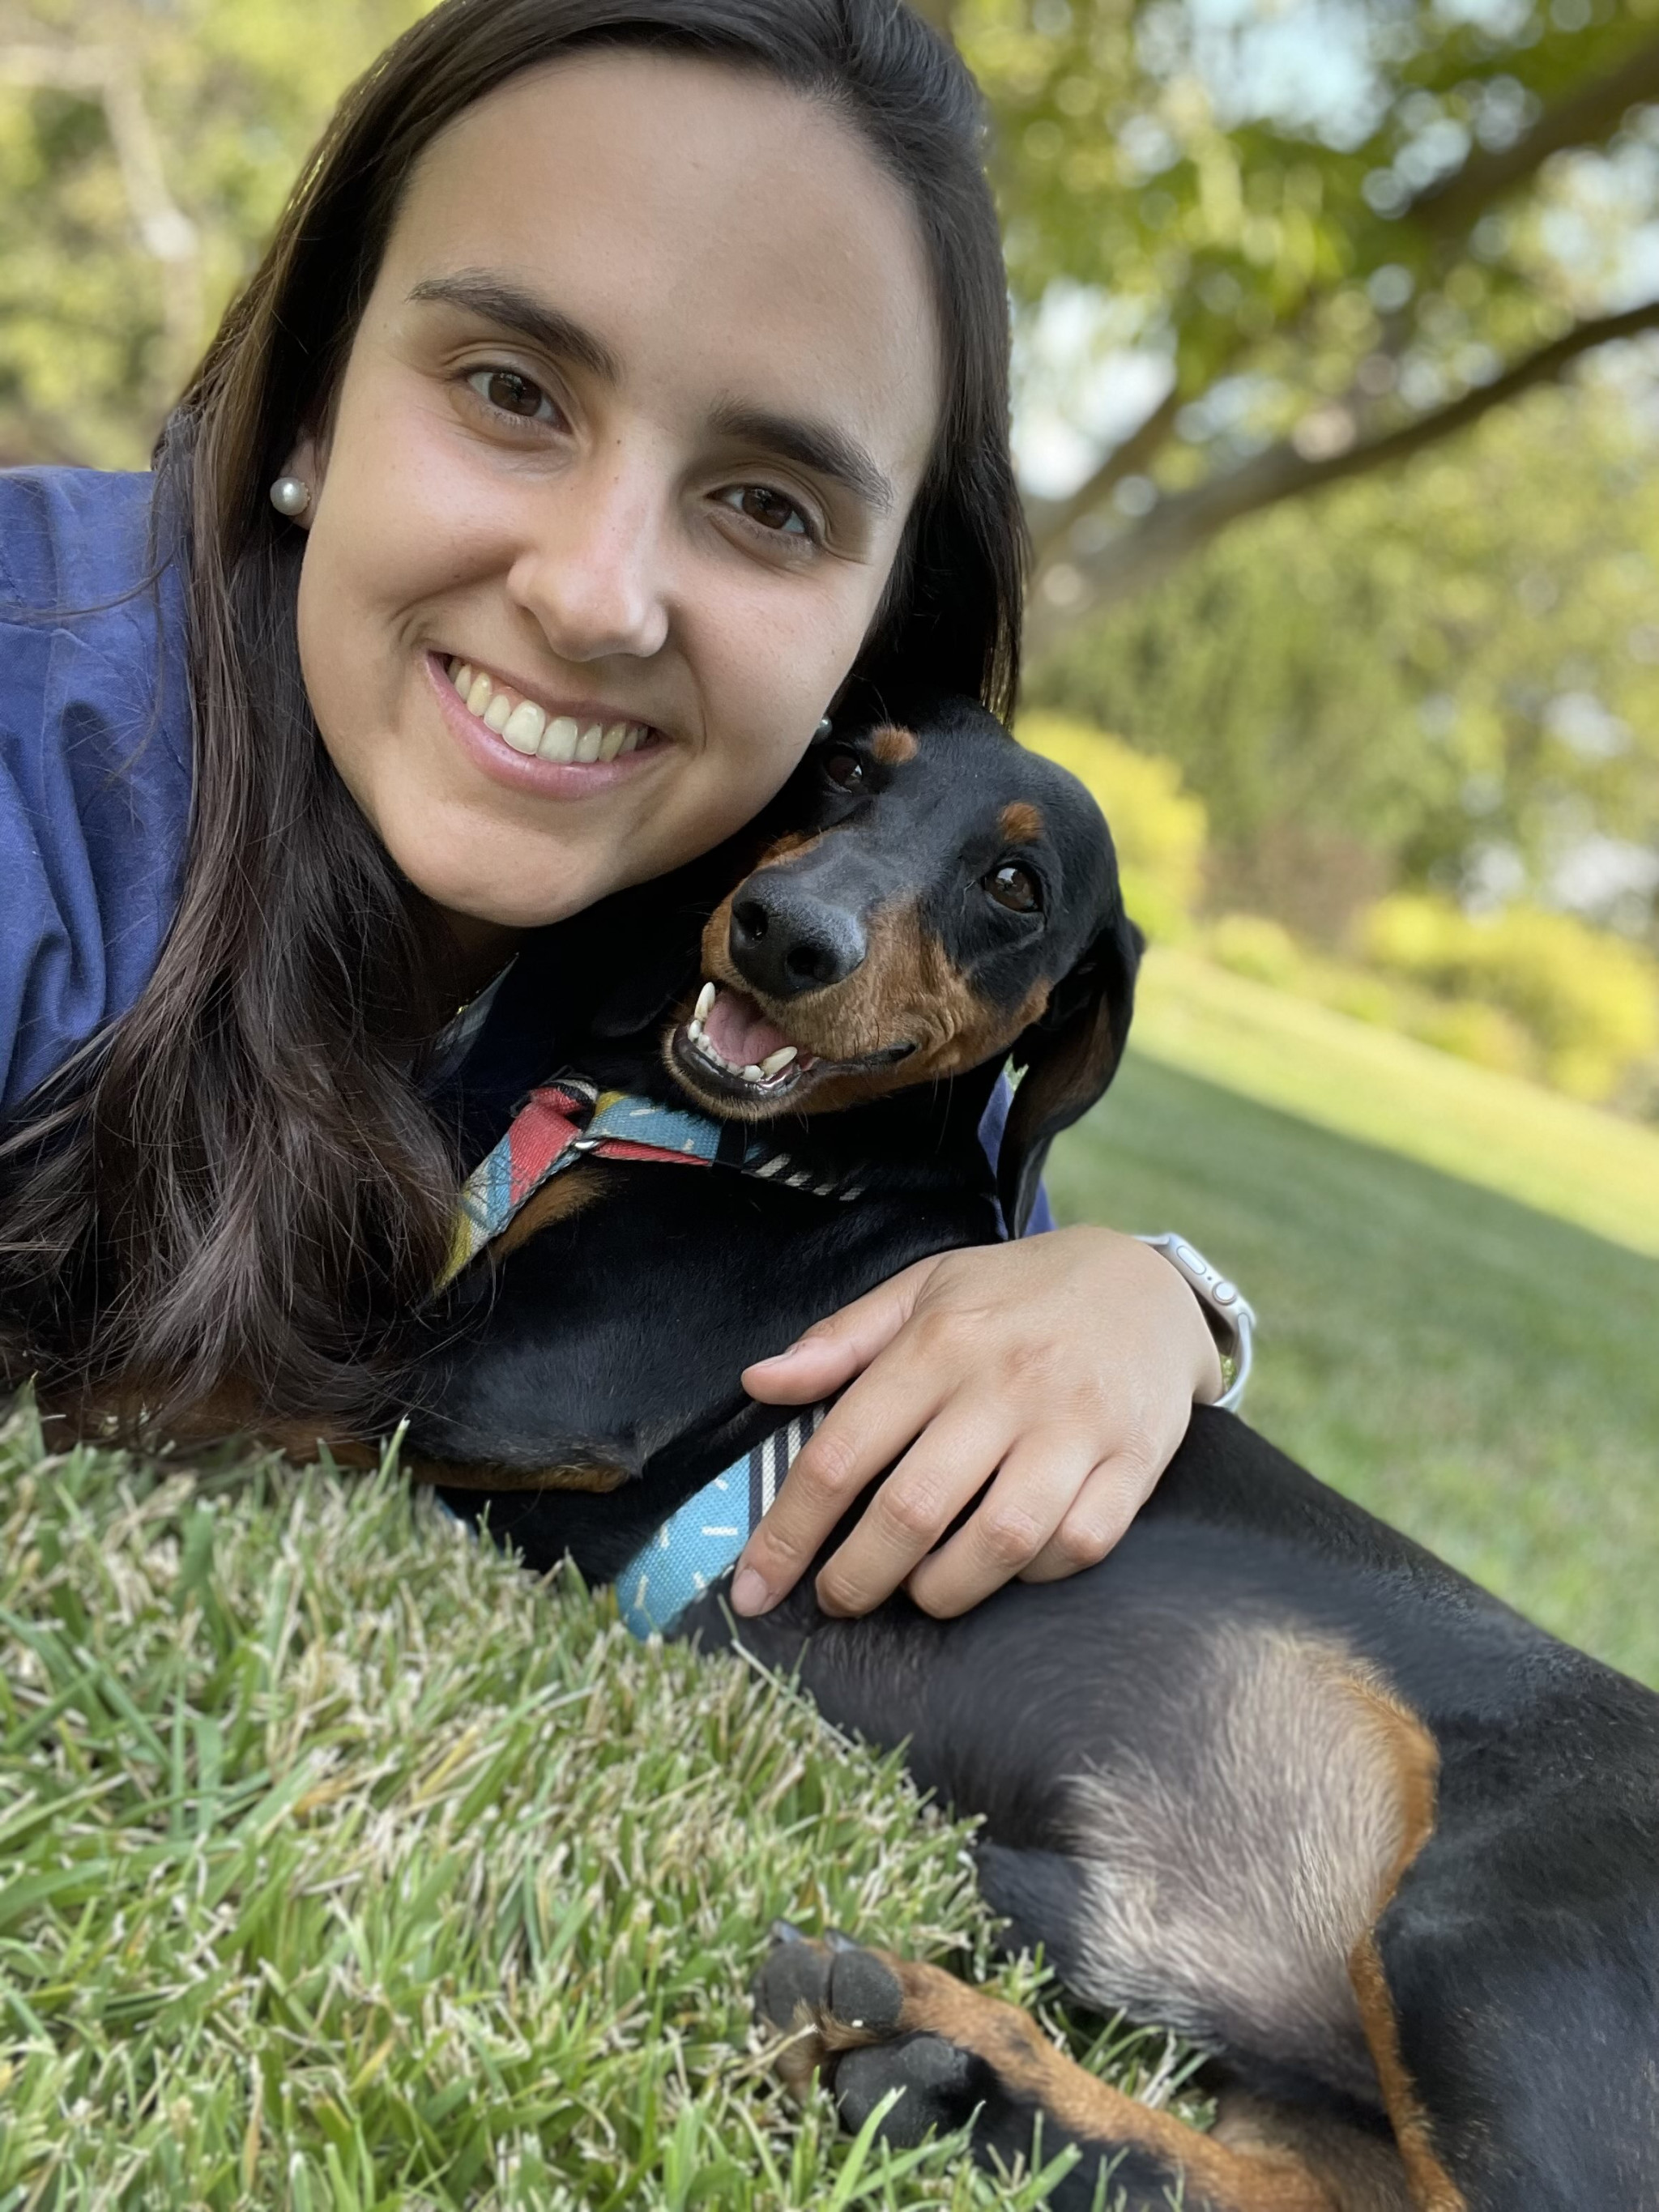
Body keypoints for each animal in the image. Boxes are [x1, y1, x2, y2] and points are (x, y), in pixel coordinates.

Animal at [400, 698, 1659, 2212]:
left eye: (1016, 885)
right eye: (844, 765)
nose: (784, 931)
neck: (779, 1155)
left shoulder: (509, 1383)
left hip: (1483, 1946)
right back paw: (933, 2073)